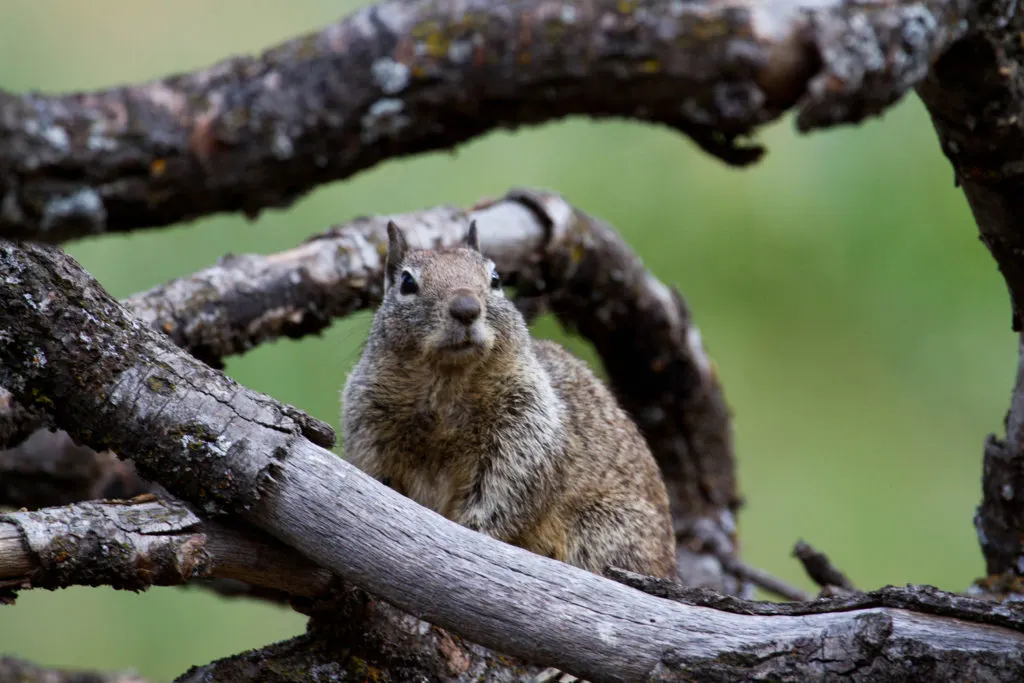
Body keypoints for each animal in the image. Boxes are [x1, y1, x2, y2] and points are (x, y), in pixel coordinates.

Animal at [341, 220, 677, 580]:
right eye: (406, 282)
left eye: (496, 279)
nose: (466, 308)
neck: (446, 386)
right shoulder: (369, 427)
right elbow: (378, 478)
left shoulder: (526, 426)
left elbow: (506, 491)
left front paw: (474, 530)